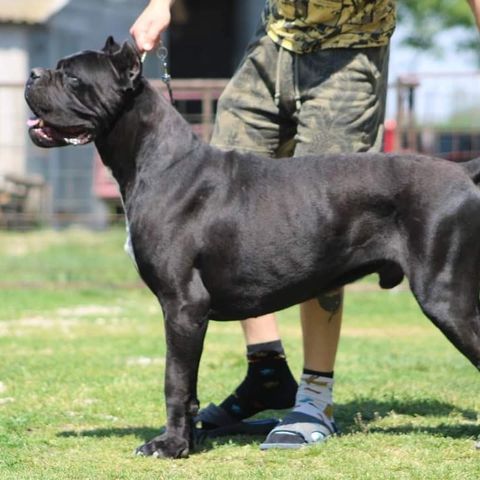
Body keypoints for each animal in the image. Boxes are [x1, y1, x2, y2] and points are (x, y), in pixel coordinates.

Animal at [24, 37, 480, 458]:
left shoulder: (183, 305)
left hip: (446, 297)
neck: (155, 160)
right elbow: (188, 386)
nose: (32, 74)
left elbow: (174, 380)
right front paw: (189, 440)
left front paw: (170, 445)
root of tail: (461, 170)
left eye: (71, 77)